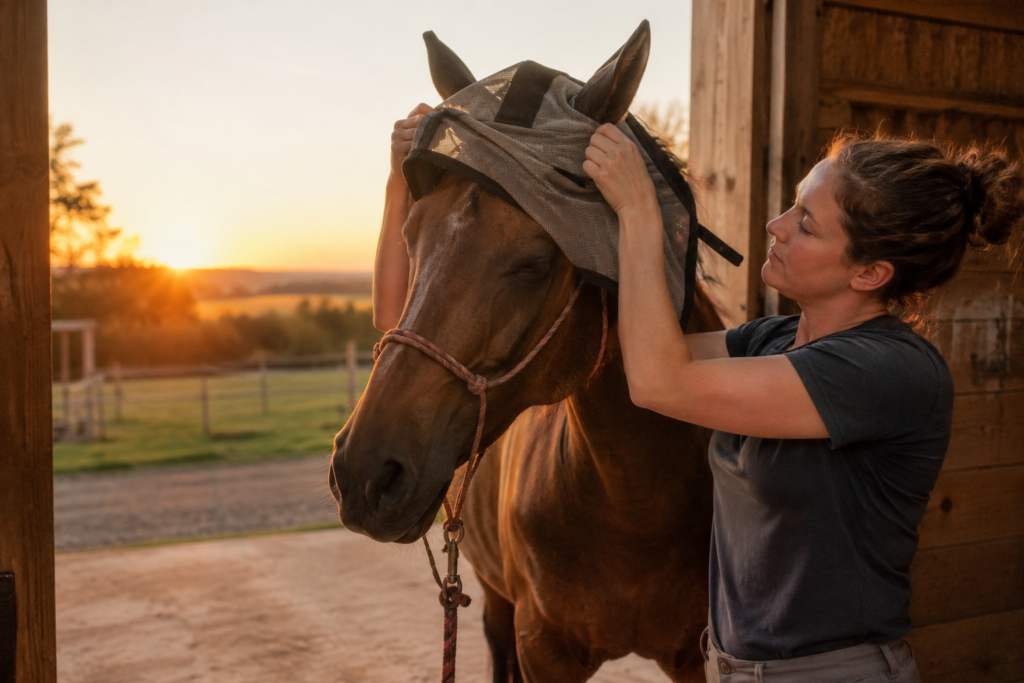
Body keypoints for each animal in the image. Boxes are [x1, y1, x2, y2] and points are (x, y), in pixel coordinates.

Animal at [329, 24, 722, 683]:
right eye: (410, 236)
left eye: (536, 262)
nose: (364, 472)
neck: (634, 505)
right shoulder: (542, 647)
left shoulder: (696, 655)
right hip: (493, 601)